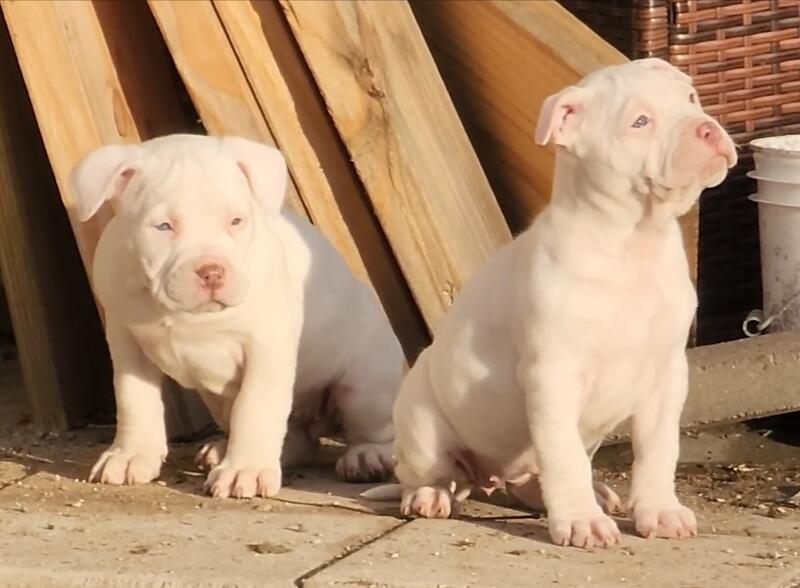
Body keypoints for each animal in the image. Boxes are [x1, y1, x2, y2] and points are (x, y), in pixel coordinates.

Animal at [70, 134, 404, 499]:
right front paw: (130, 455)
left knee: (378, 431)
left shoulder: (266, 345)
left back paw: (365, 456)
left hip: (363, 387)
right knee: (296, 439)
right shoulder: (127, 343)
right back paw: (225, 450)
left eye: (236, 222)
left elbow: (254, 407)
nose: (212, 272)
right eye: (163, 226)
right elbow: (135, 399)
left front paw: (246, 470)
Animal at [363, 58, 736, 548]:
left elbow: (658, 450)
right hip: (422, 423)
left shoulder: (666, 375)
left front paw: (660, 511)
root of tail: (488, 477)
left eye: (690, 99)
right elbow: (565, 455)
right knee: (428, 471)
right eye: (639, 122)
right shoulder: (554, 376)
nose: (707, 128)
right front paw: (580, 522)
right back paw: (430, 495)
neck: (633, 240)